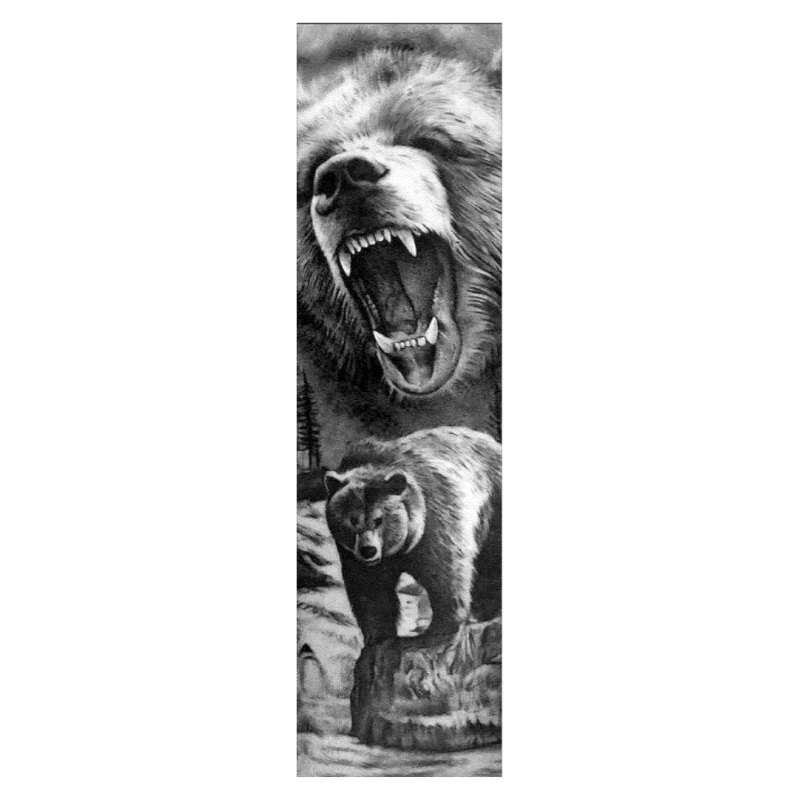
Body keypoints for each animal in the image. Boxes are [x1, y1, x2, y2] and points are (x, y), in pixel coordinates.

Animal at [324, 427, 501, 645]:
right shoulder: (352, 555)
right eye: (352, 520)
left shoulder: (435, 526)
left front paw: (442, 627)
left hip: (492, 507)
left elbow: (445, 576)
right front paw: (378, 636)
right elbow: (370, 590)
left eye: (378, 519)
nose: (368, 550)